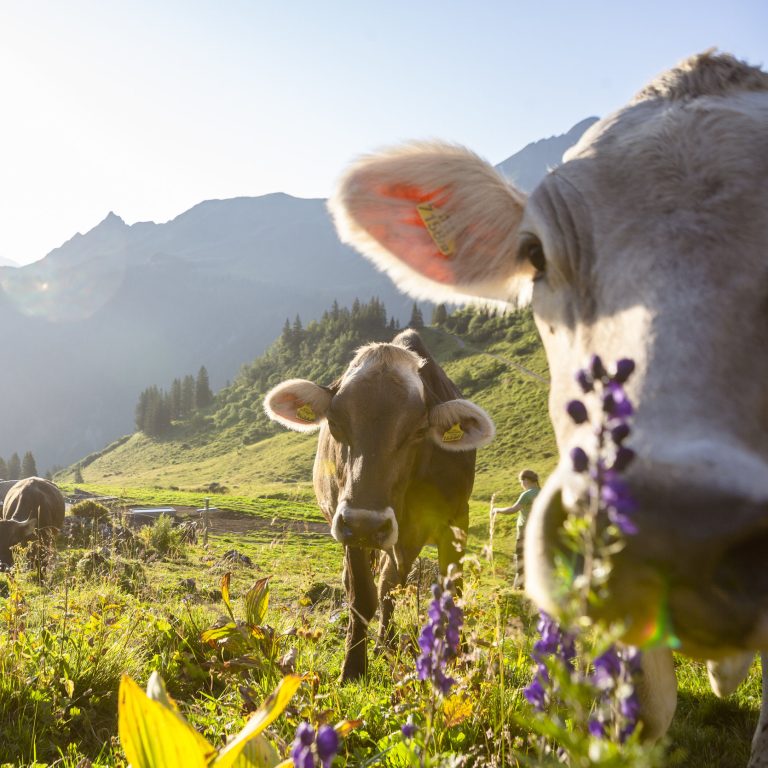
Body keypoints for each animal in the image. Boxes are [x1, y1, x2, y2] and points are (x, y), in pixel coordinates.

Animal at [264, 329, 494, 680]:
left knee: (391, 582)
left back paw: (386, 642)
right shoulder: (350, 526)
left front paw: (456, 656)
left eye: (419, 430)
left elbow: (449, 590)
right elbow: (362, 596)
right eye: (335, 422)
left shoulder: (456, 519)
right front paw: (353, 667)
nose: (367, 523)